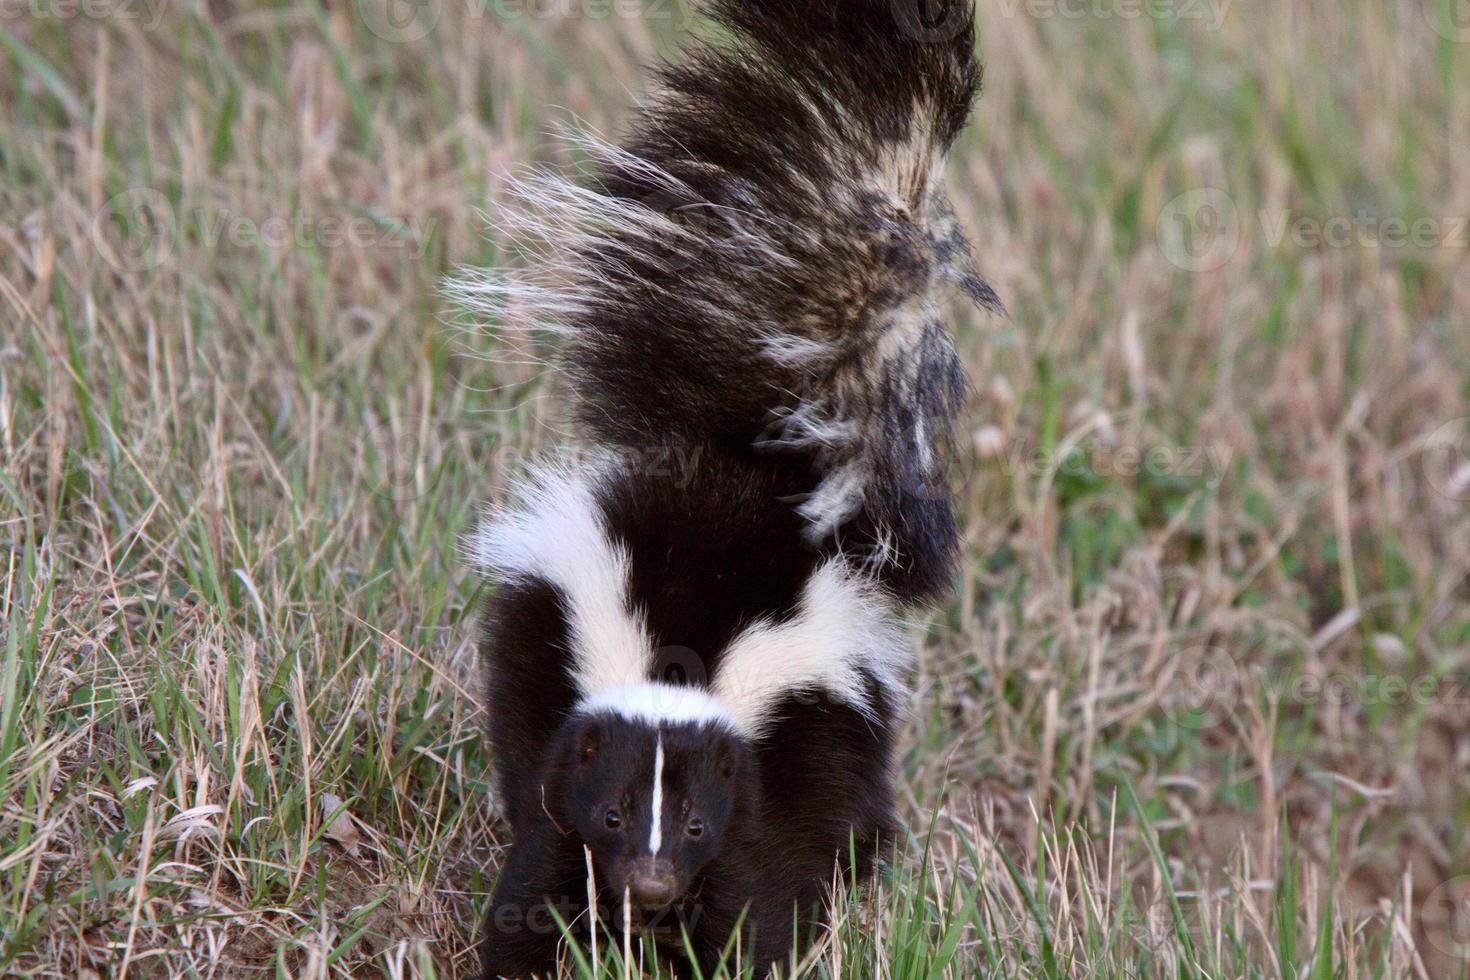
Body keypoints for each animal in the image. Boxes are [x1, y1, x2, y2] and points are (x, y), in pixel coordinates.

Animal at [452, 0, 993, 975]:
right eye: (616, 812)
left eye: (696, 822)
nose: (652, 884)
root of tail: (755, 475)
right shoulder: (568, 750)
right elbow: (539, 872)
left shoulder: (774, 767)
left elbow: (755, 903)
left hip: (844, 715)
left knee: (854, 804)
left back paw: (867, 865)